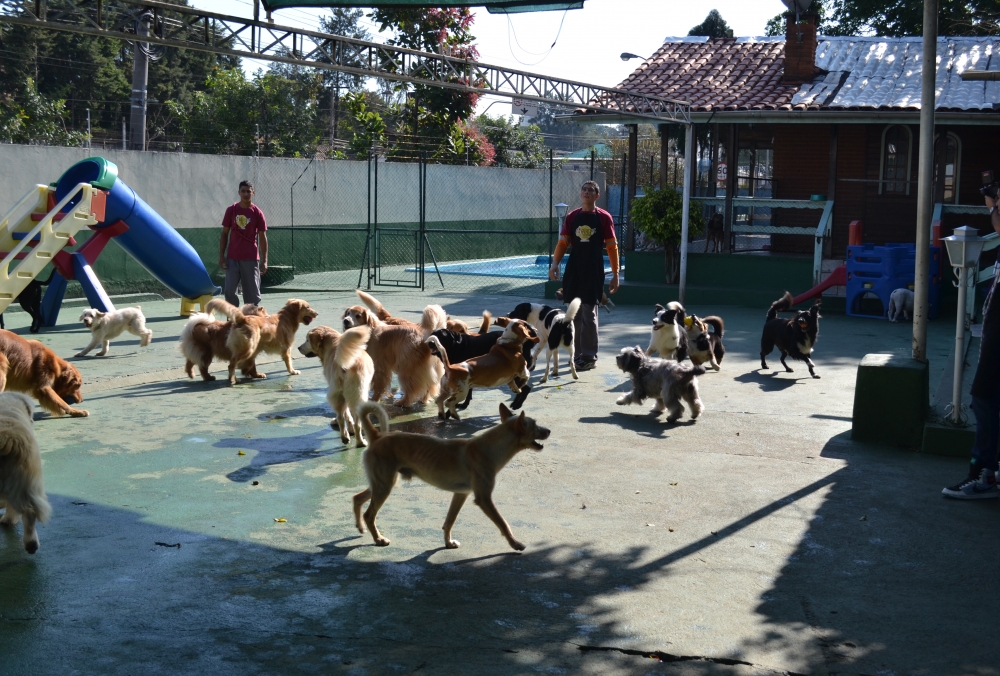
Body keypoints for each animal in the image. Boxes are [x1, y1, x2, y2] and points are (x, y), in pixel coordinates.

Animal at [354, 402, 556, 548]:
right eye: (535, 425)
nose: (549, 431)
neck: (489, 448)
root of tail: (377, 436)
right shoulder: (484, 499)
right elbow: (503, 523)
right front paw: (515, 544)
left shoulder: (460, 494)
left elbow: (449, 521)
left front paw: (448, 543)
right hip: (384, 486)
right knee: (369, 514)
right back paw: (378, 539)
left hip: (381, 484)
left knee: (357, 498)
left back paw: (360, 527)